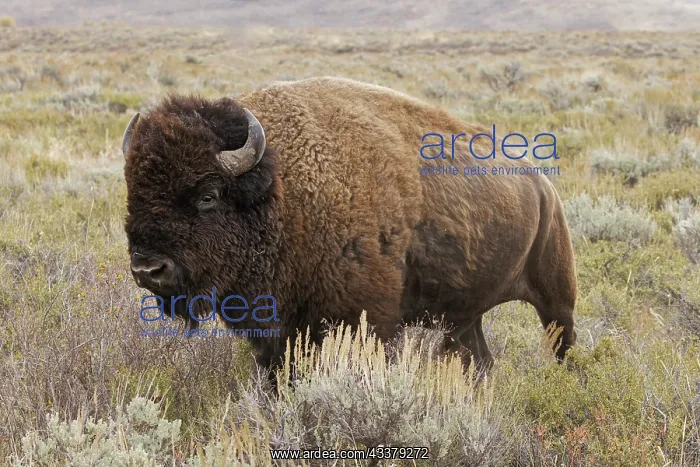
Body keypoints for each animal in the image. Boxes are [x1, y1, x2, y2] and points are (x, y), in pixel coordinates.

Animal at [122, 77, 577, 370]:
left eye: (208, 195)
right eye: (132, 191)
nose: (148, 269)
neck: (282, 190)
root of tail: (543, 187)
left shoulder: (364, 321)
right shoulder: (278, 332)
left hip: (557, 298)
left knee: (563, 345)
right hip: (465, 315)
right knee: (479, 358)